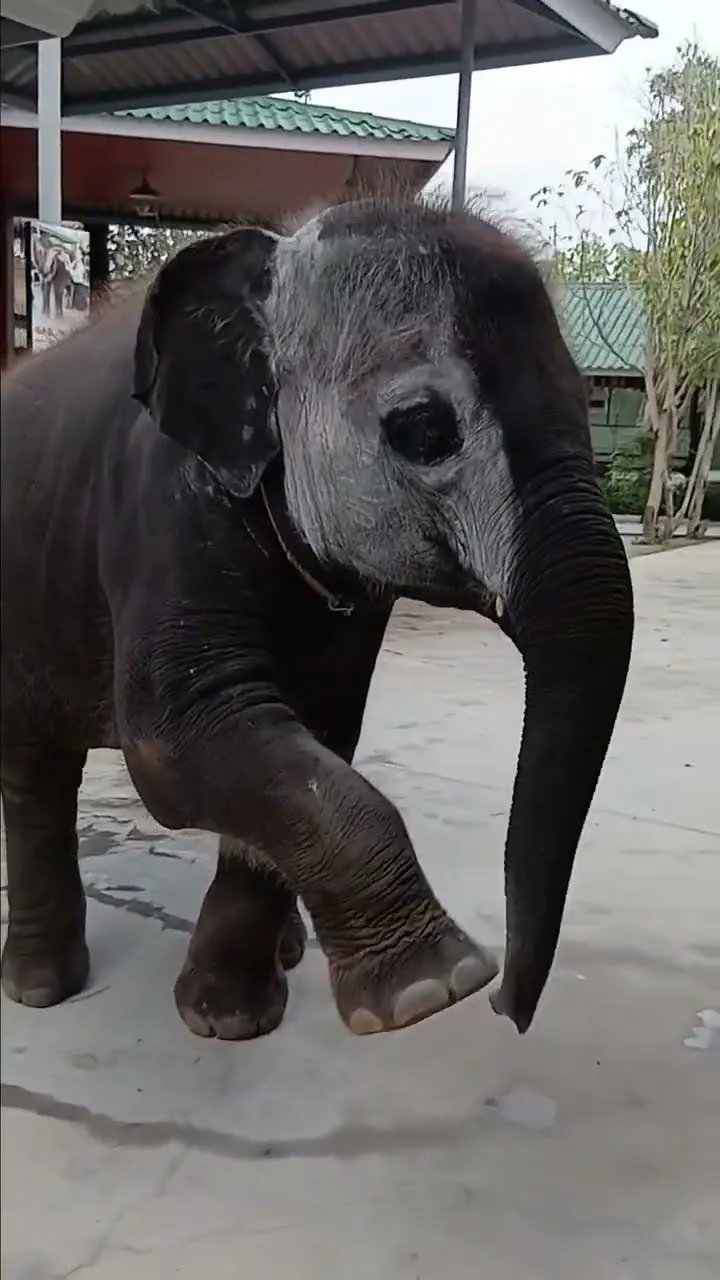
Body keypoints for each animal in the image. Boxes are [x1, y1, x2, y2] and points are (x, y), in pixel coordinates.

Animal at [0, 197, 634, 1042]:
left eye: (589, 404)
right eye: (425, 432)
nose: (508, 1008)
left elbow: (322, 729)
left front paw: (232, 1019)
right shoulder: (159, 507)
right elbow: (178, 740)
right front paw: (434, 989)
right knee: (33, 770)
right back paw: (41, 989)